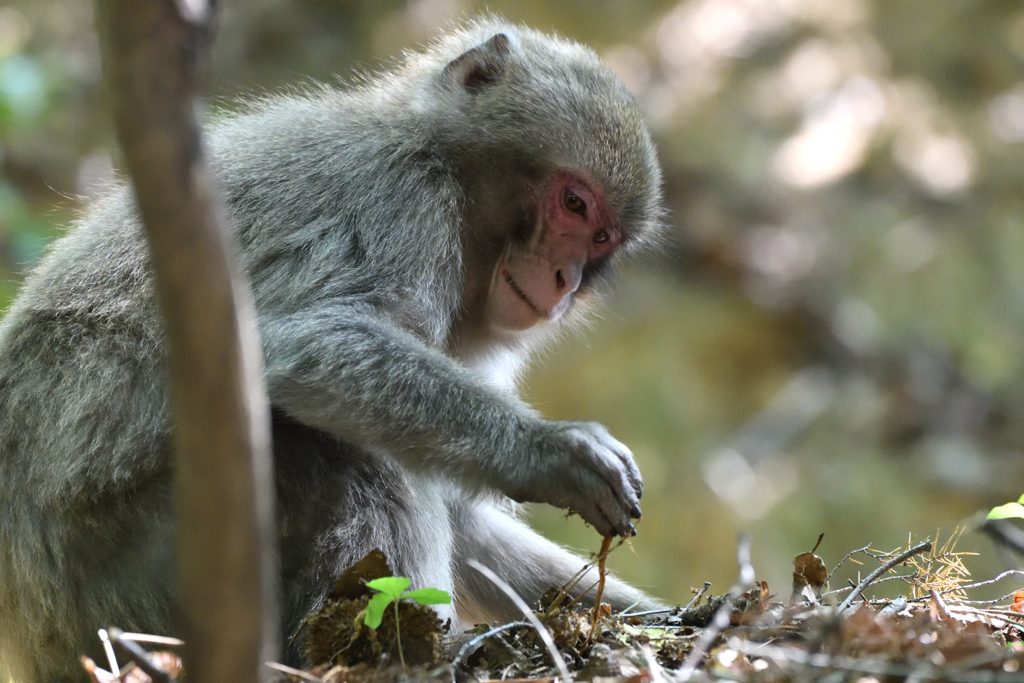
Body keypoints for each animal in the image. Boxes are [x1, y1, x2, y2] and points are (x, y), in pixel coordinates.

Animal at [0, 17, 663, 683]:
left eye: (600, 238)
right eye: (573, 202)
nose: (565, 279)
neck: (442, 162)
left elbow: (461, 509)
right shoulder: (403, 200)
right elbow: (312, 344)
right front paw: (552, 452)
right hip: (123, 566)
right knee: (357, 462)